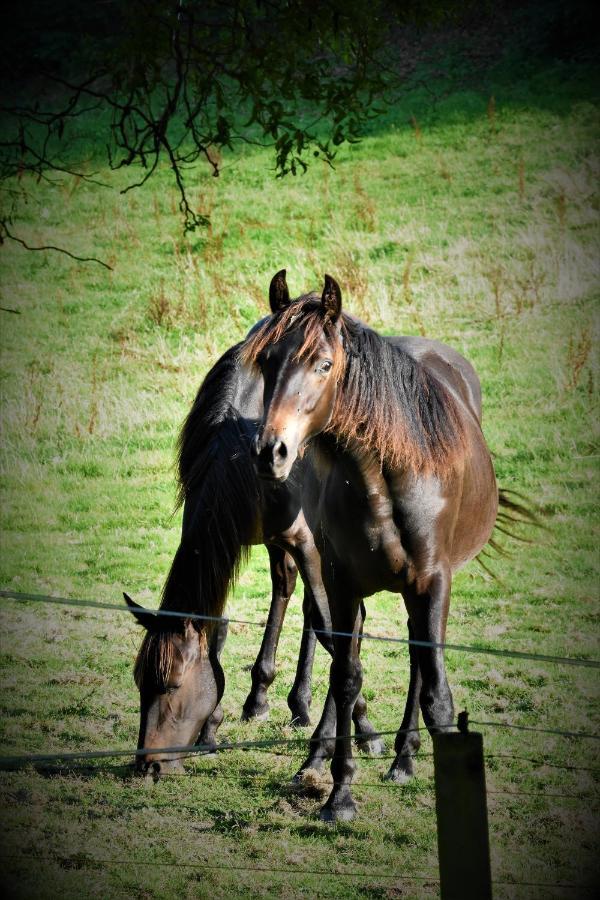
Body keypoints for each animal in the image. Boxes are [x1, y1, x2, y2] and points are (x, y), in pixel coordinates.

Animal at [124, 326, 382, 776]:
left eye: (172, 685)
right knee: (290, 590)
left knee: (330, 614)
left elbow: (332, 630)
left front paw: (363, 726)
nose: (147, 766)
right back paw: (275, 700)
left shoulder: (307, 541)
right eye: (140, 683)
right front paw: (211, 728)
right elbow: (219, 626)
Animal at [244, 270, 506, 820]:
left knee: (419, 664)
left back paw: (405, 757)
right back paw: (323, 758)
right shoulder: (342, 584)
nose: (270, 451)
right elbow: (346, 676)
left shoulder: (432, 581)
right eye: (266, 360)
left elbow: (438, 696)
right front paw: (339, 793)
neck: (381, 477)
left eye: (323, 364)